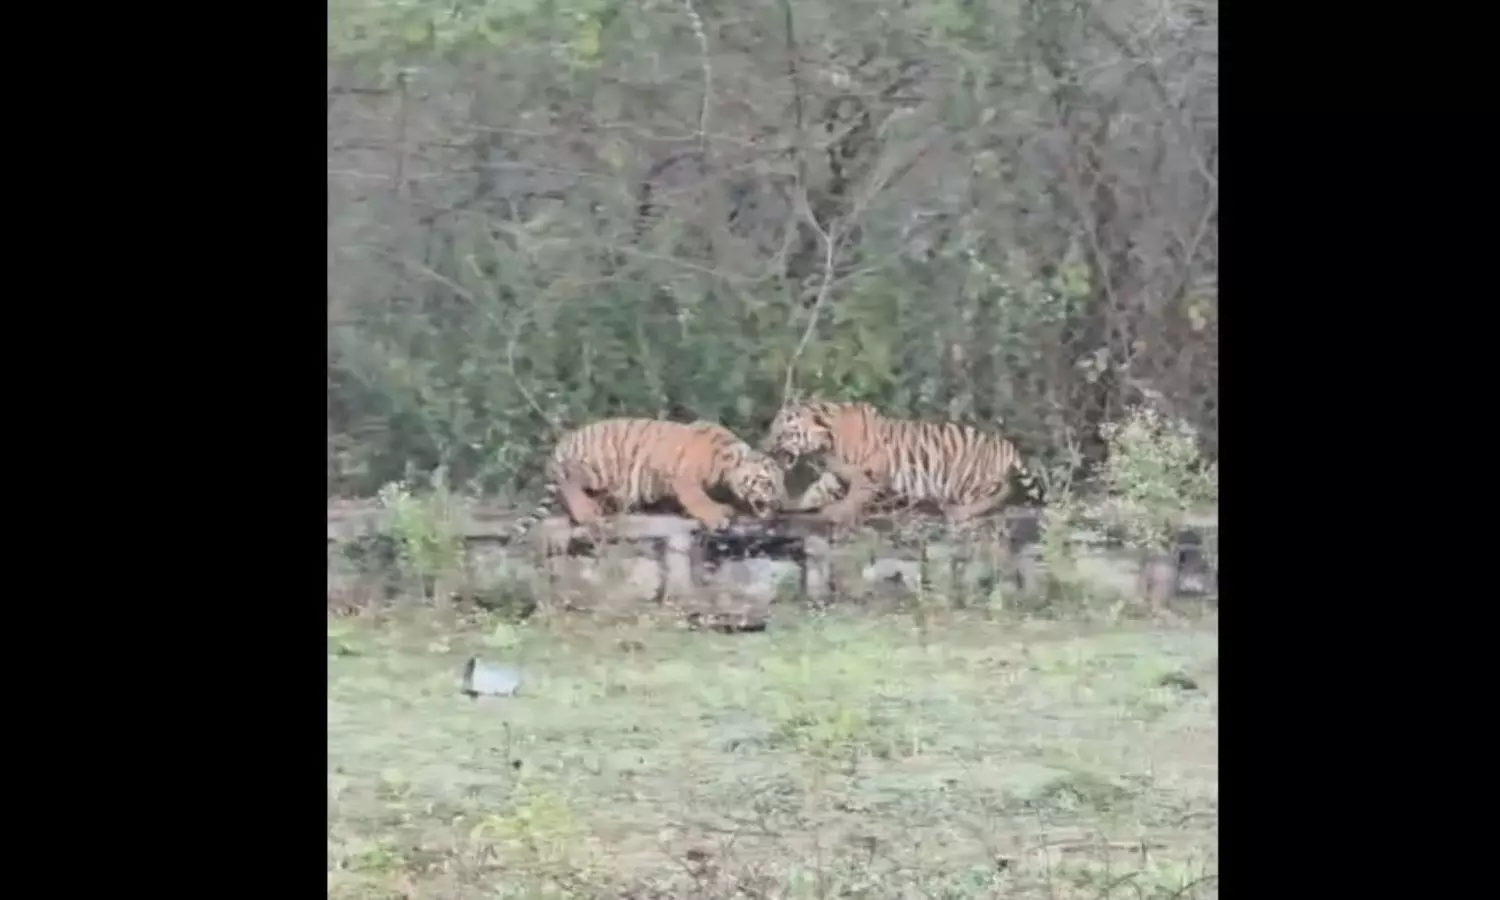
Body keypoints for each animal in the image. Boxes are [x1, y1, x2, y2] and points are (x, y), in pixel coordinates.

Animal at [511, 418, 788, 539]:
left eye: (781, 483)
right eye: (767, 482)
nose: (779, 504)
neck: (725, 463)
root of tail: (563, 444)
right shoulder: (684, 480)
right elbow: (698, 499)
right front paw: (717, 517)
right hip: (596, 467)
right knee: (569, 485)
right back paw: (588, 514)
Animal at [763, 400, 1029, 526]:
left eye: (782, 434)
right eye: (772, 430)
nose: (767, 447)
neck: (826, 443)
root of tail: (1006, 445)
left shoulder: (869, 473)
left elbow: (854, 496)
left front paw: (836, 511)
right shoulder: (836, 474)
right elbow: (814, 491)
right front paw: (789, 504)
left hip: (965, 481)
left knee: (1002, 492)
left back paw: (958, 511)